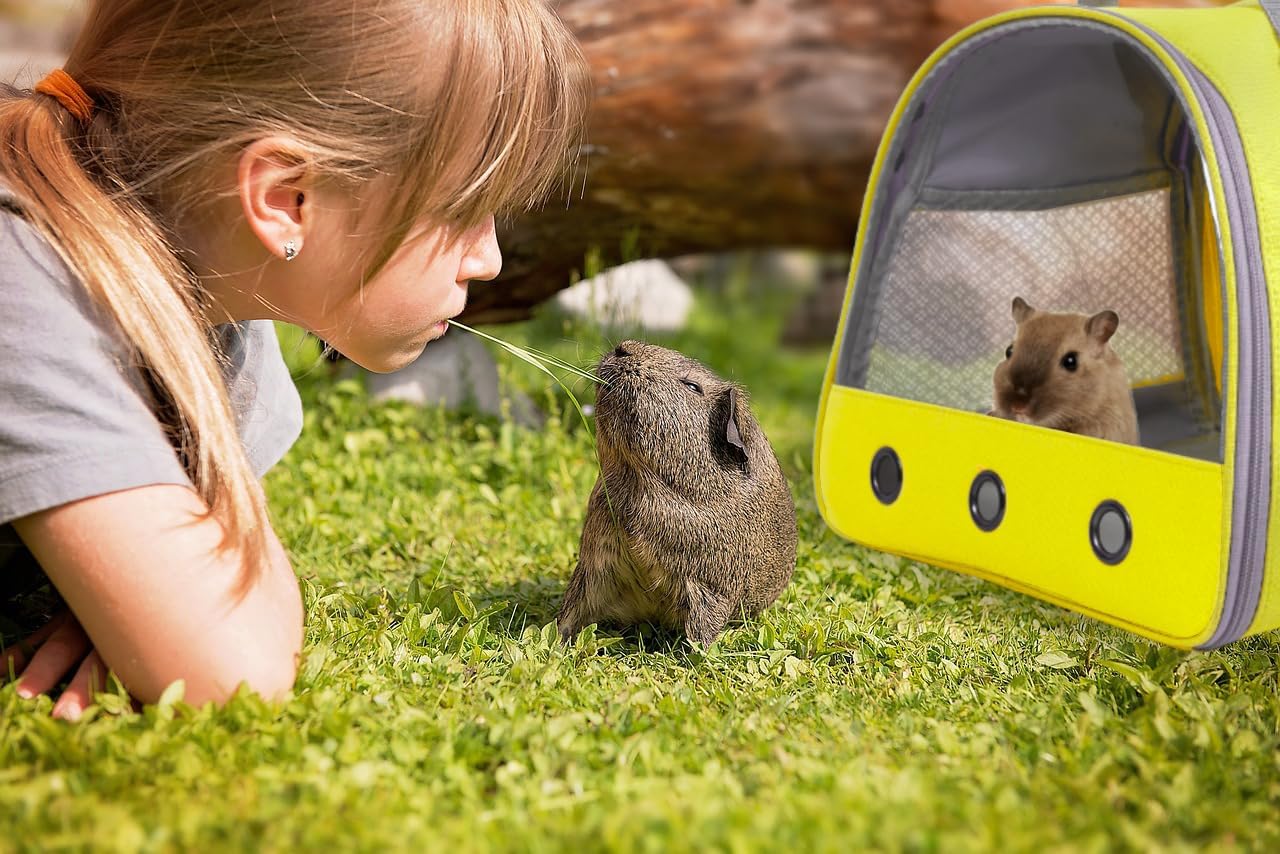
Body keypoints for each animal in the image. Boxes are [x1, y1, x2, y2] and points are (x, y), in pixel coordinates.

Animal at [556, 341, 797, 648]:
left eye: (693, 386)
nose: (623, 348)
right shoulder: (594, 565)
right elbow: (570, 614)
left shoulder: (708, 589)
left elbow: (702, 632)